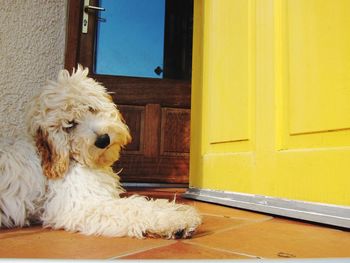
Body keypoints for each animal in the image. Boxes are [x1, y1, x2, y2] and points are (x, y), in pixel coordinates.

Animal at [0, 66, 201, 239]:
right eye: (70, 124)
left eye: (91, 108)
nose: (103, 139)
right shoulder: (80, 205)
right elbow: (132, 207)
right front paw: (175, 220)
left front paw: (177, 211)